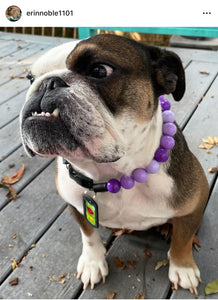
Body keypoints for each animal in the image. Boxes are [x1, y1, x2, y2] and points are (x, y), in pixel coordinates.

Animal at [20, 34, 209, 294]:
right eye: (30, 78)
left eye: (100, 70)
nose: (48, 83)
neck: (112, 173)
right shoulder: (75, 205)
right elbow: (89, 234)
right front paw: (93, 262)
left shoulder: (194, 203)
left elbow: (183, 239)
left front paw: (183, 268)